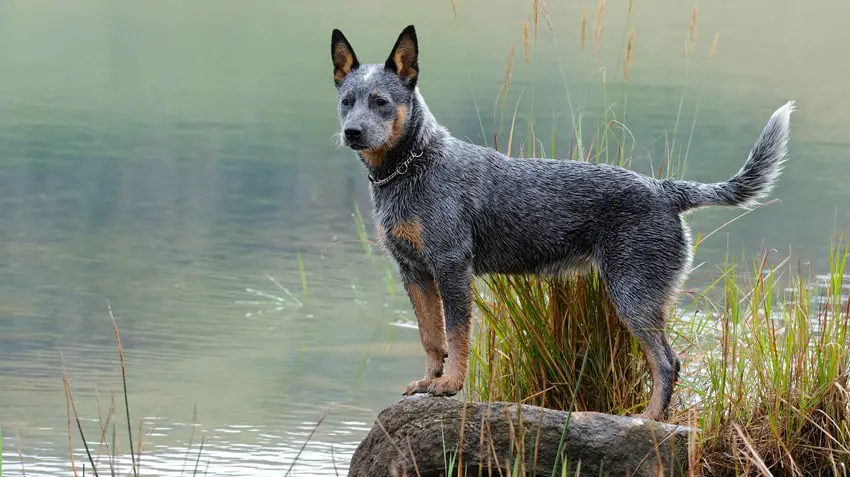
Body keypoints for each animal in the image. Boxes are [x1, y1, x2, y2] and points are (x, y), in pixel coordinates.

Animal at [328, 25, 792, 420]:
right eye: (347, 101)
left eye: (381, 102)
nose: (352, 132)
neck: (412, 167)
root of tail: (665, 190)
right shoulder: (414, 272)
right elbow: (431, 337)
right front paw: (428, 382)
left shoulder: (451, 267)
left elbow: (457, 335)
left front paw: (451, 385)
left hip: (633, 295)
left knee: (666, 362)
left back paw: (647, 420)